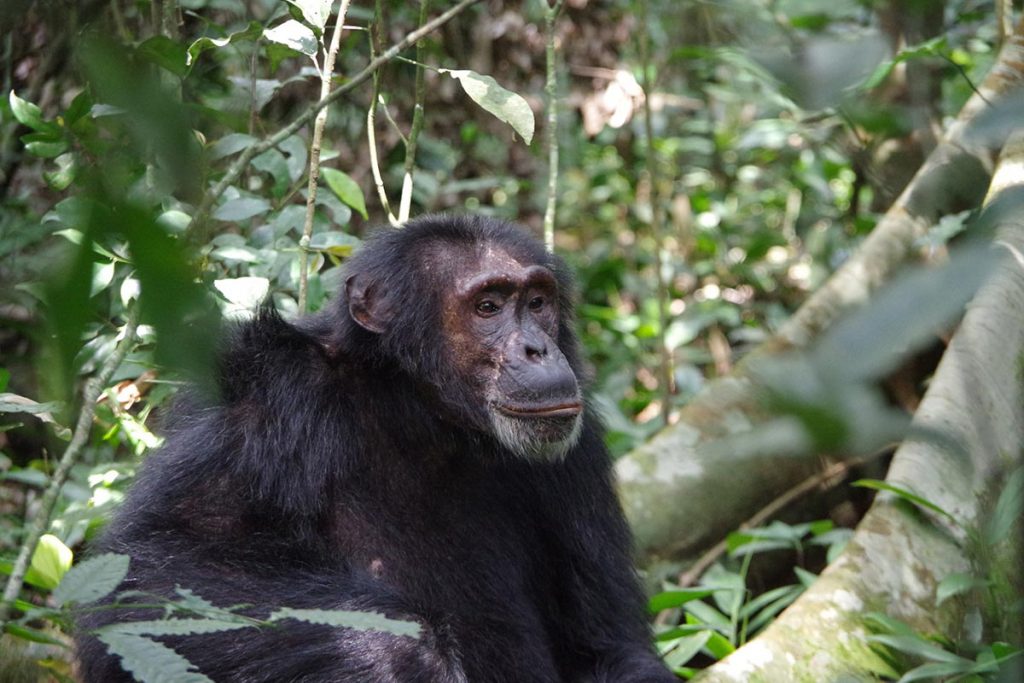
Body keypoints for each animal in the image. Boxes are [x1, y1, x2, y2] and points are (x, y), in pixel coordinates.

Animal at [75, 215, 675, 683]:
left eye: (537, 302)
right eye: (488, 306)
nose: (538, 347)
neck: (421, 416)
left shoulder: (579, 455)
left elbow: (607, 646)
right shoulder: (262, 409)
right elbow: (147, 574)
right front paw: (397, 655)